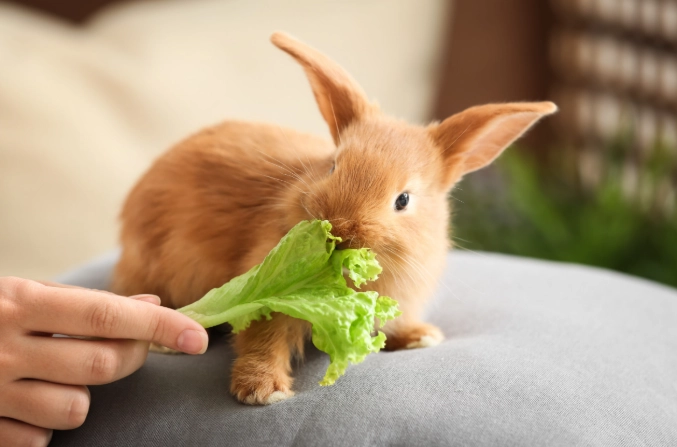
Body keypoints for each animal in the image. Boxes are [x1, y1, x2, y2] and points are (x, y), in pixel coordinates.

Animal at [112, 31, 557, 405]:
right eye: (333, 167)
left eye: (403, 200)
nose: (339, 230)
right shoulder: (265, 293)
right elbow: (262, 338)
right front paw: (263, 391)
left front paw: (421, 337)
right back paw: (166, 341)